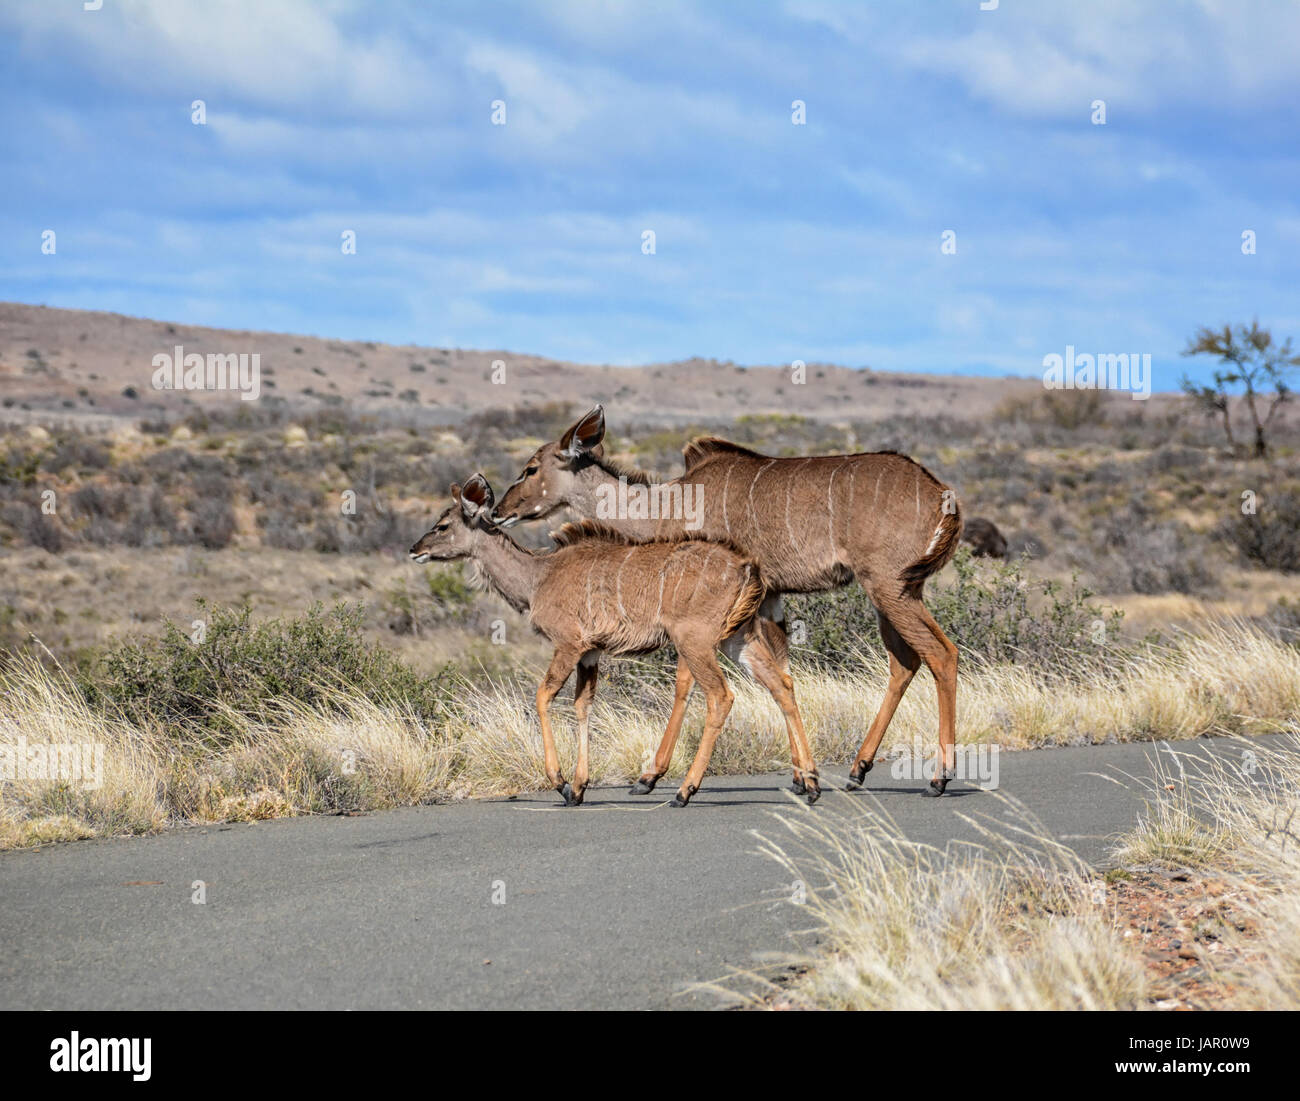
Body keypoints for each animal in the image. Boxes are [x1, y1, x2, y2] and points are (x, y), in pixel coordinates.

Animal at [405, 473, 816, 811]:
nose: (414, 549)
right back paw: (810, 783)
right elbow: (583, 705)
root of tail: (747, 567)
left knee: (721, 696)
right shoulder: (591, 651)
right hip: (738, 638)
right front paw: (579, 788)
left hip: (695, 642)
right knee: (781, 684)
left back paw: (684, 791)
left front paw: (561, 783)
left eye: (442, 524)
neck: (537, 577)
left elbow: (543, 696)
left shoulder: (568, 643)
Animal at [493, 408, 967, 795]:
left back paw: (939, 778)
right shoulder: (769, 596)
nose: (498, 511)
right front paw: (802, 778)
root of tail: (944, 496)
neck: (666, 504)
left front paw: (651, 777)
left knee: (941, 653)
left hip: (888, 585)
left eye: (530, 467)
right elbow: (782, 674)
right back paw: (858, 769)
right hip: (897, 591)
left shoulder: (698, 612)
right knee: (905, 661)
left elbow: (686, 682)